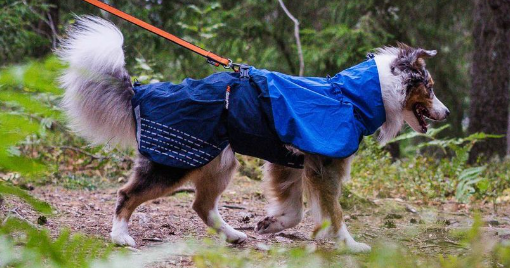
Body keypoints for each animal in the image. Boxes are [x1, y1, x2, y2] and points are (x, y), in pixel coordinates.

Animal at [57, 16, 448, 251]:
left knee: (201, 205)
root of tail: (142, 90)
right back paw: (120, 236)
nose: (445, 113)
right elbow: (334, 212)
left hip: (218, 161)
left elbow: (296, 210)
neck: (351, 95)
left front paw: (272, 223)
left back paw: (232, 235)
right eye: (429, 88)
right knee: (127, 194)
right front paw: (350, 244)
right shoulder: (324, 165)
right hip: (176, 161)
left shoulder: (290, 162)